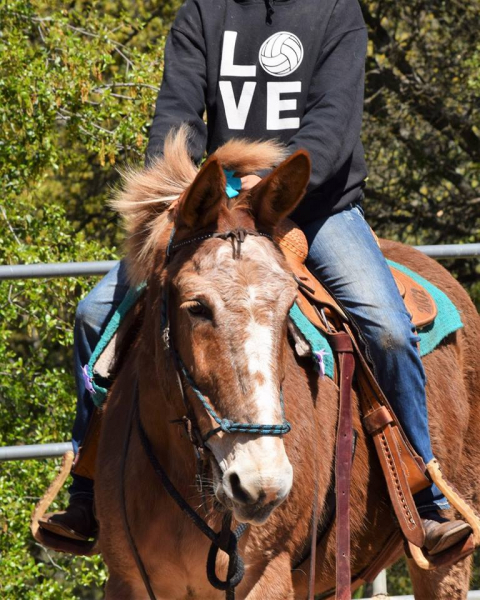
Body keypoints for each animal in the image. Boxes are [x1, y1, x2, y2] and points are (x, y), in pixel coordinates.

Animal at [95, 129, 480, 596]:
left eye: (286, 305)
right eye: (196, 307)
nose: (261, 482)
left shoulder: (267, 575)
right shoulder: (127, 581)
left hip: (444, 558)